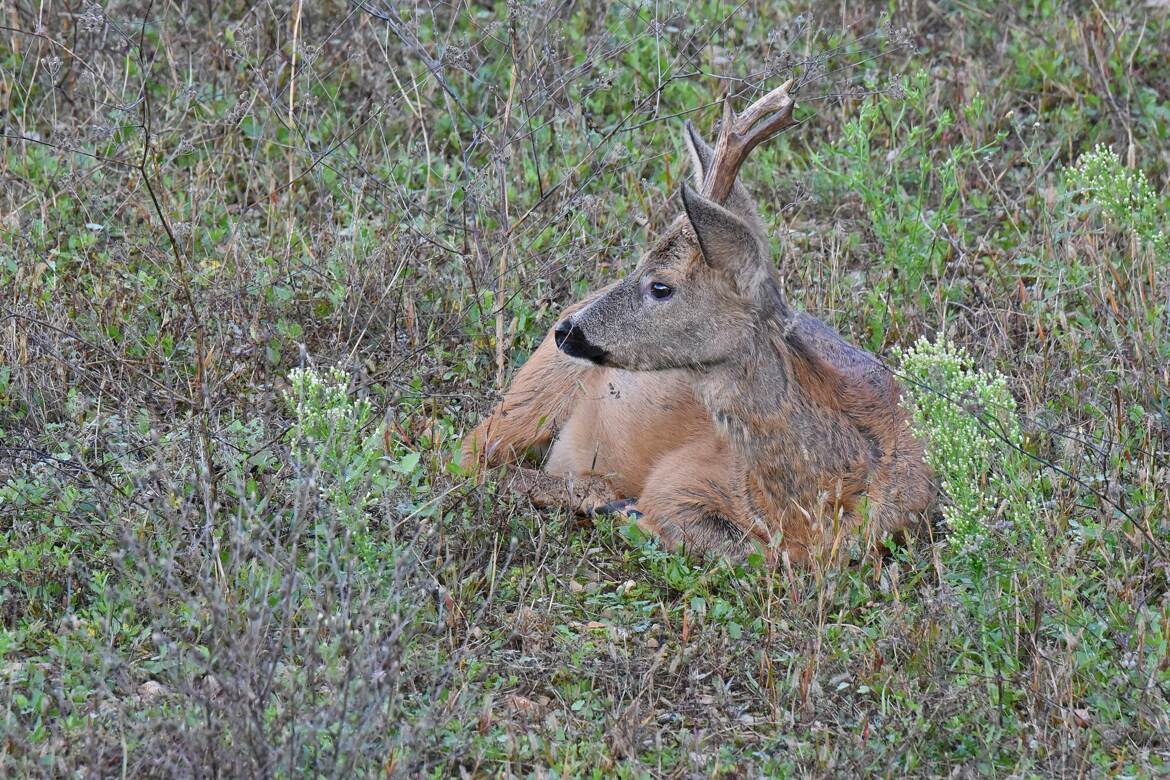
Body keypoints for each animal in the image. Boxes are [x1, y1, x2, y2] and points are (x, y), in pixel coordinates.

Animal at [460, 82, 935, 563]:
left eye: (660, 286)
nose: (567, 330)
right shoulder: (678, 481)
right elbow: (732, 545)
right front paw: (620, 509)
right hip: (535, 392)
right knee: (468, 455)